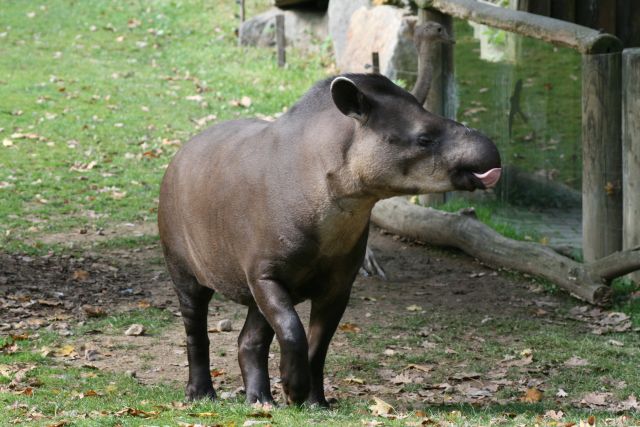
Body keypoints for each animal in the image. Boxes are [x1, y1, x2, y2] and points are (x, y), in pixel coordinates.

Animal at [158, 73, 501, 406]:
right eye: (424, 138)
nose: (493, 157)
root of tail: (181, 152)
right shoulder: (264, 272)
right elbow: (293, 329)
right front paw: (294, 390)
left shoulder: (339, 284)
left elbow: (318, 344)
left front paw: (315, 402)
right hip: (181, 258)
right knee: (195, 324)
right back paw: (202, 394)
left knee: (250, 338)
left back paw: (260, 400)